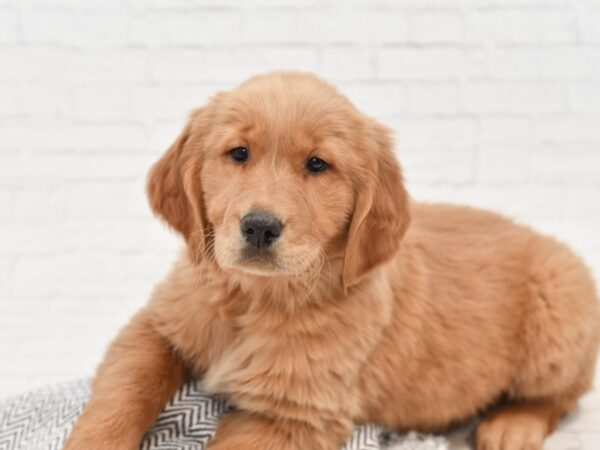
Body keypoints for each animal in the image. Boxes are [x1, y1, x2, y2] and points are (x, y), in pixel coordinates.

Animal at [63, 72, 596, 448]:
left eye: (317, 165)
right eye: (238, 153)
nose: (260, 226)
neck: (252, 300)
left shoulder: (295, 414)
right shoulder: (158, 325)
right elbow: (123, 390)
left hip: (559, 312)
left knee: (564, 393)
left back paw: (513, 426)